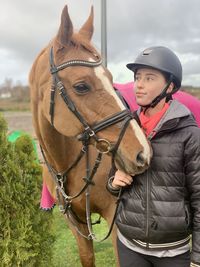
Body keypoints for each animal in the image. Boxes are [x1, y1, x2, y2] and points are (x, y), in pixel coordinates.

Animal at [29, 4, 152, 267]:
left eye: (111, 78)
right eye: (81, 86)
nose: (143, 153)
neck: (68, 161)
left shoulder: (117, 222)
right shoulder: (77, 225)